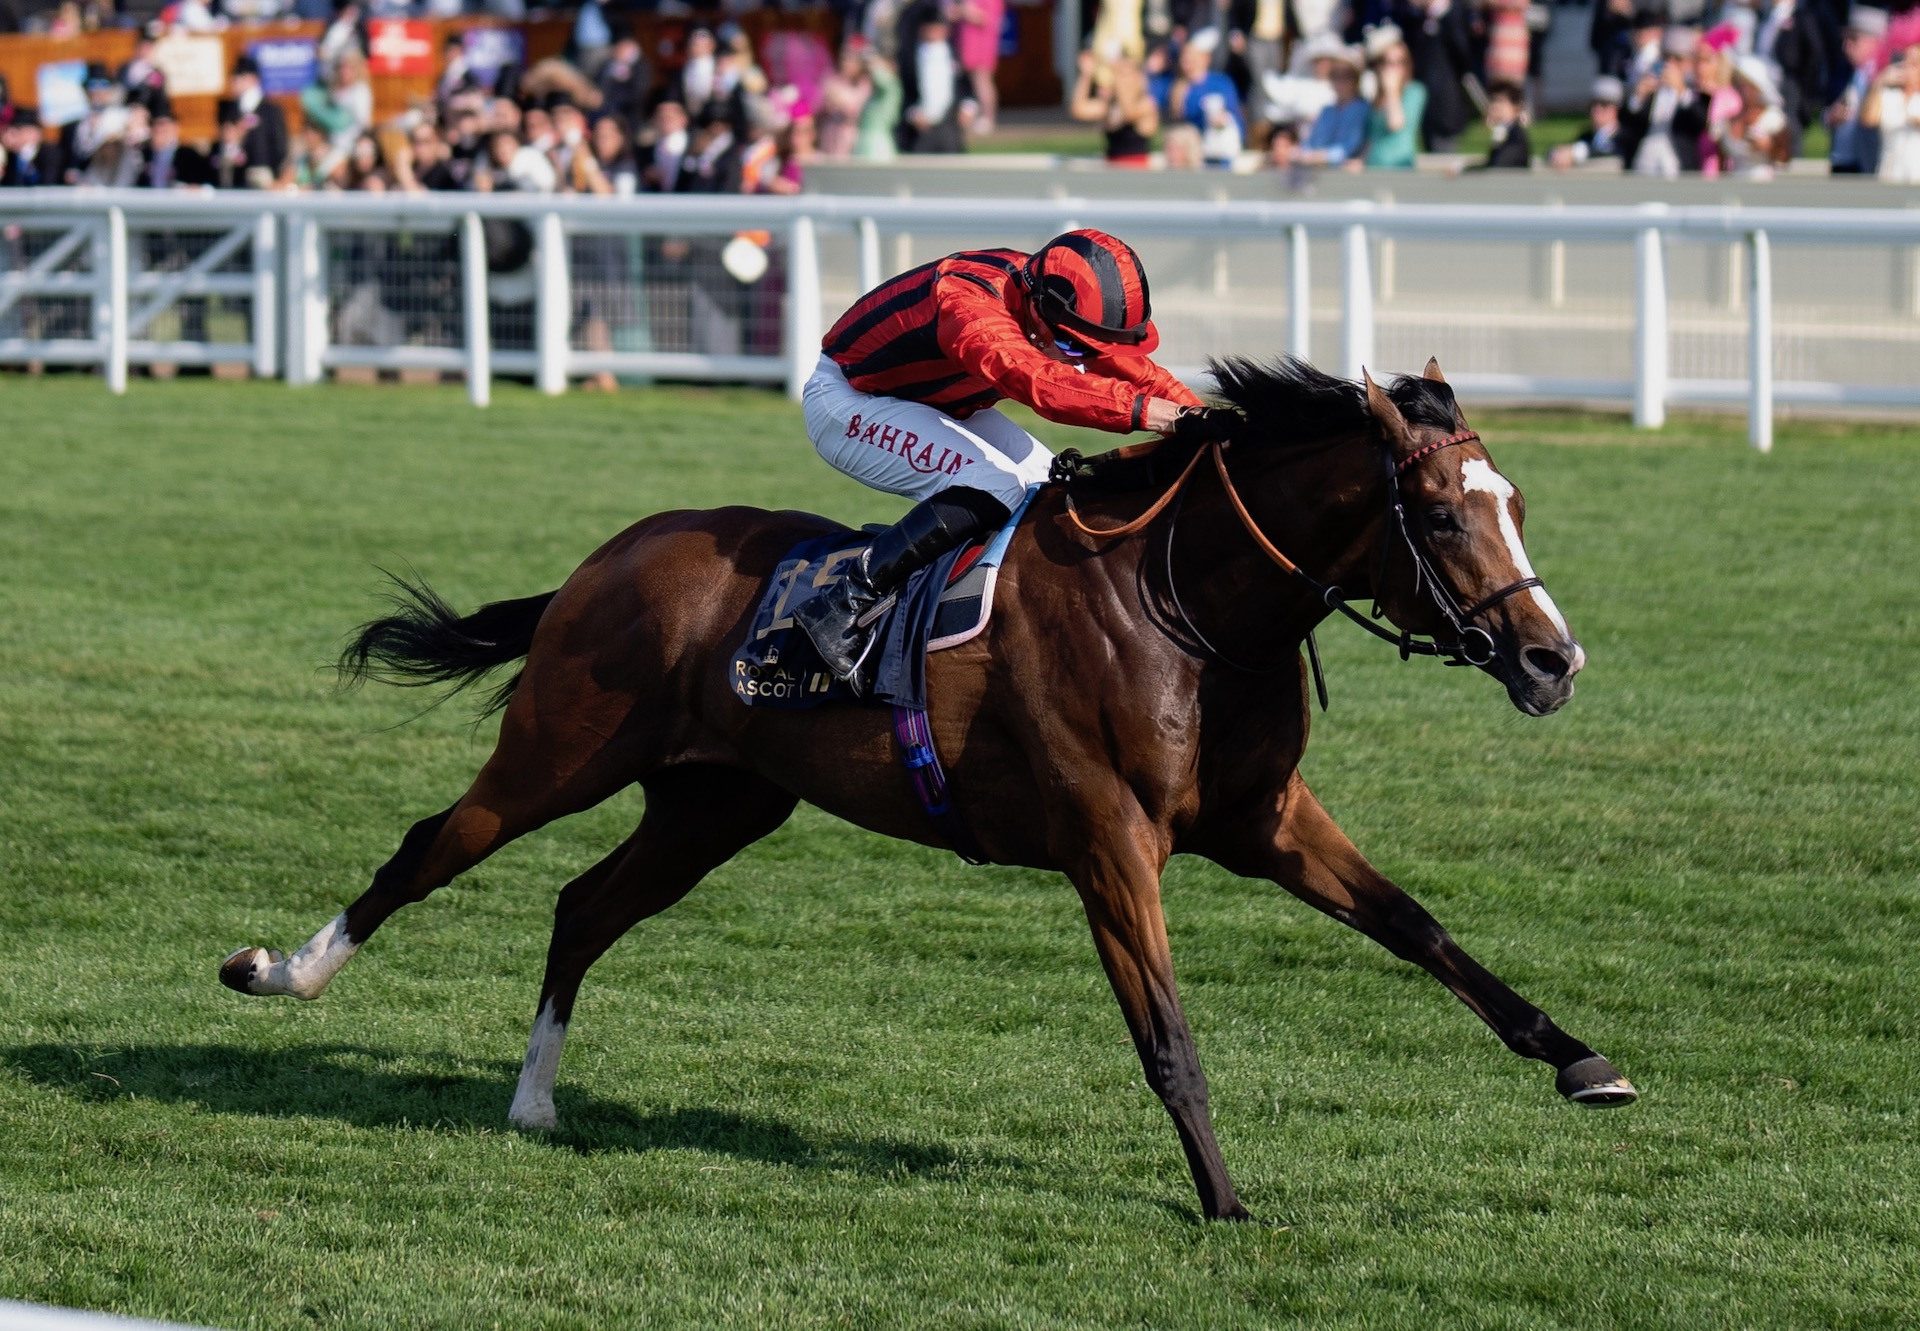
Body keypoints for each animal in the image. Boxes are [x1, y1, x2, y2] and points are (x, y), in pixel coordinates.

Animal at [220, 359, 1635, 1221]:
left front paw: (1585, 1060)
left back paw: (531, 1101)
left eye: (1515, 498)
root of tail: (603, 559)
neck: (1186, 603)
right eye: (1442, 515)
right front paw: (1227, 1197)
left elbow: (1422, 929)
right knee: (431, 844)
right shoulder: (1110, 842)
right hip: (561, 750)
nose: (1555, 659)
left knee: (583, 906)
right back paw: (282, 970)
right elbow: (1168, 1035)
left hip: (713, 803)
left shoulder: (1264, 820)